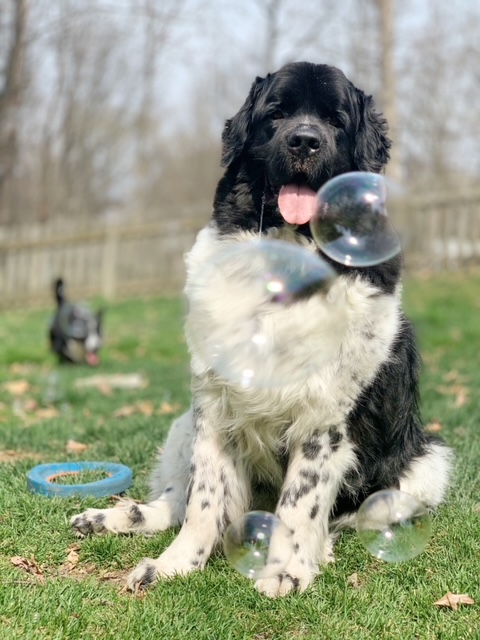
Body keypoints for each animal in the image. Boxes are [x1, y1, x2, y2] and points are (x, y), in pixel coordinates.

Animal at [70, 62, 450, 596]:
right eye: (277, 114)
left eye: (335, 120)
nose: (305, 141)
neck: (287, 260)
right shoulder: (212, 406)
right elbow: (202, 502)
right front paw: (173, 565)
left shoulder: (324, 420)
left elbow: (300, 503)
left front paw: (287, 570)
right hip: (182, 425)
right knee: (175, 501)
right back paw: (112, 518)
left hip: (426, 462)